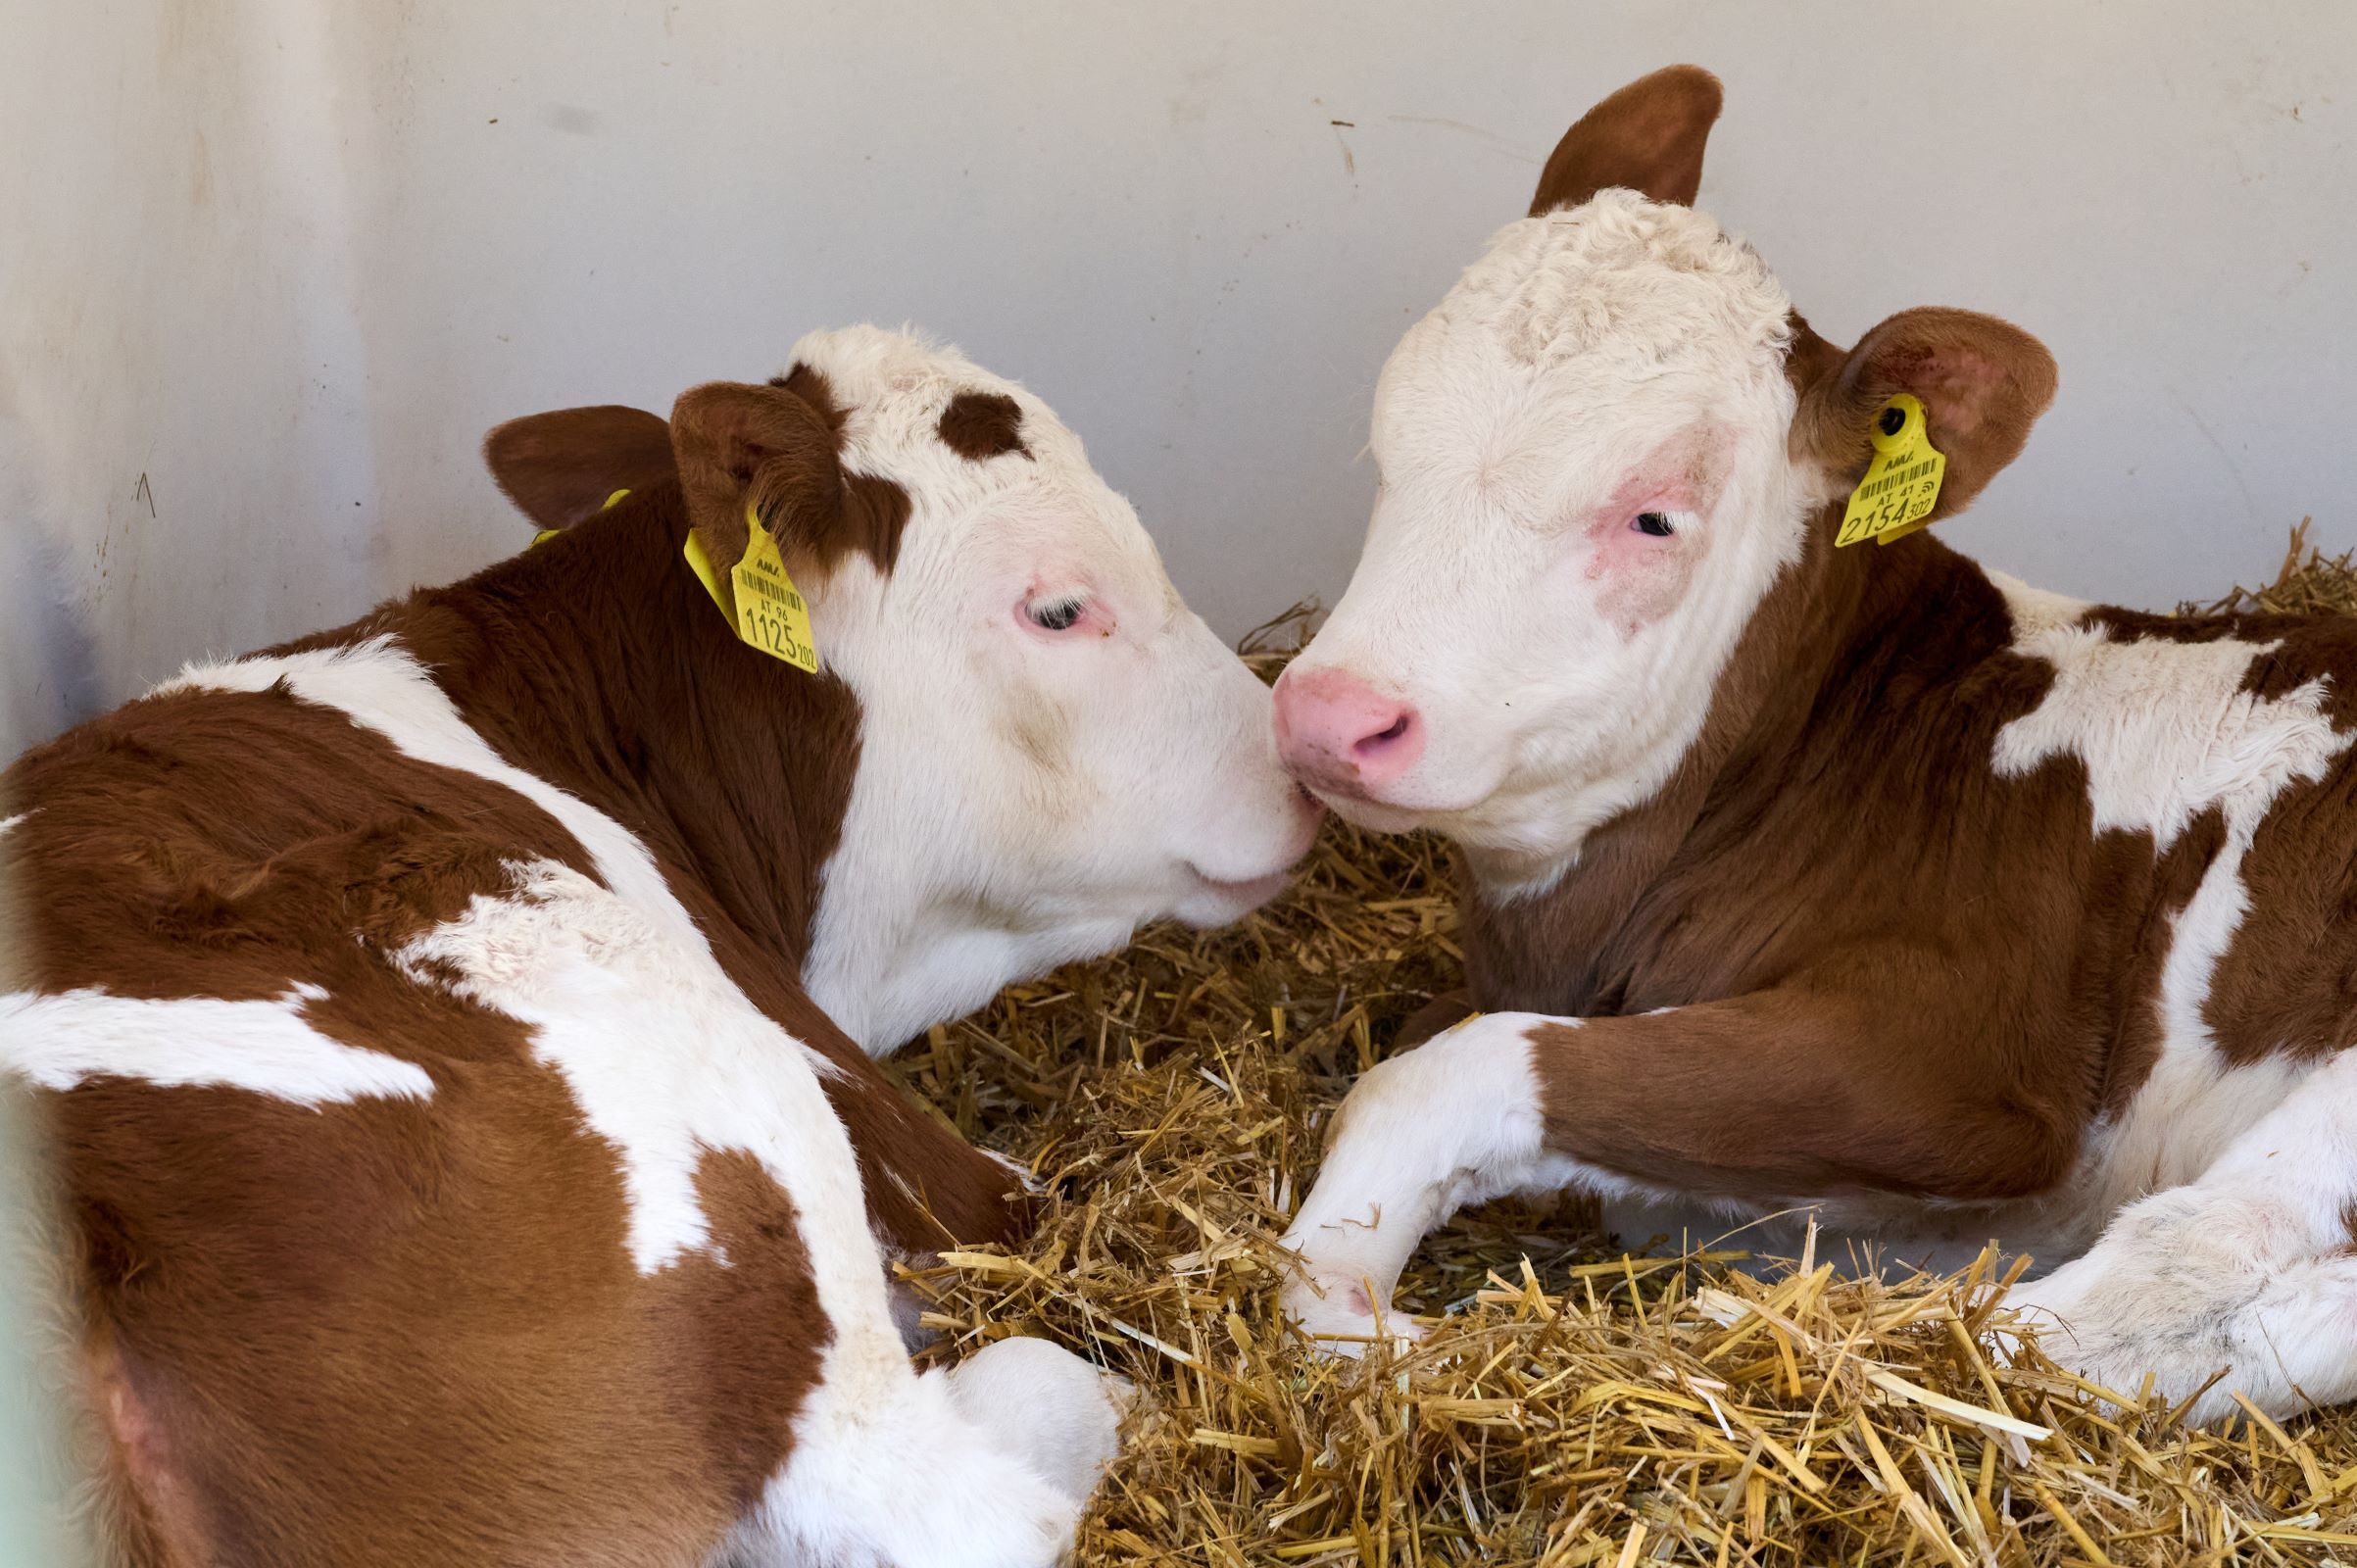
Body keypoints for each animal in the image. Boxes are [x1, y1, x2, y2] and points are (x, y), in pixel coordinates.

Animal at [1270, 65, 2357, 1424]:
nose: (1327, 713)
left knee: (2166, 1280)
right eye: (1385, 439)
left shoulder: (1963, 1059)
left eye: (1652, 517)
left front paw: (1352, 1309)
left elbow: (1433, 1075)